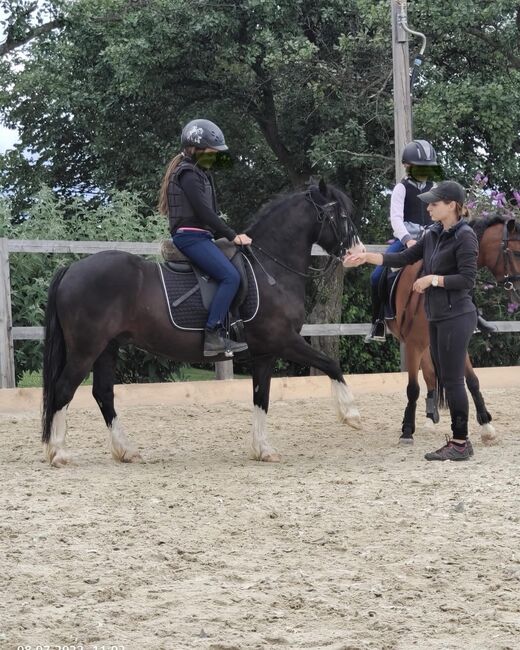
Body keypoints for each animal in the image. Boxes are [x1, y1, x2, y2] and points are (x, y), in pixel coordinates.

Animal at [41, 181, 366, 466]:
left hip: (106, 349)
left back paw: (126, 451)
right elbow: (331, 365)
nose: (358, 253)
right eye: (341, 215)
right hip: (86, 349)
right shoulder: (285, 342)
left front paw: (263, 449)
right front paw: (352, 415)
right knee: (63, 389)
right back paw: (59, 454)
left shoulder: (265, 354)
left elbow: (261, 397)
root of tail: (71, 268)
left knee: (103, 394)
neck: (270, 269)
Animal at [386, 215, 520, 442]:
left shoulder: (455, 339)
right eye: (517, 252)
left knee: (431, 374)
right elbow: (412, 388)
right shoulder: (413, 343)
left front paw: (486, 424)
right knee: (427, 376)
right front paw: (407, 430)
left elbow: (472, 380)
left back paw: (431, 417)